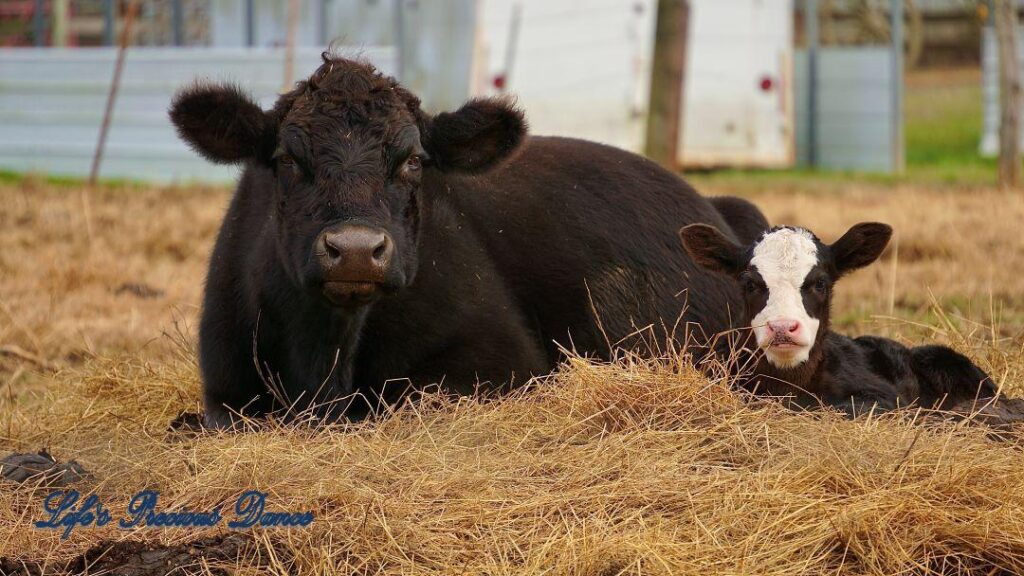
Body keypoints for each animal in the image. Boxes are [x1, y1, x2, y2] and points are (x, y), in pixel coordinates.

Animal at [167, 54, 761, 426]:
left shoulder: (502, 362)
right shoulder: (224, 386)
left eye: (412, 161)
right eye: (288, 159)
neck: (326, 363)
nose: (355, 250)